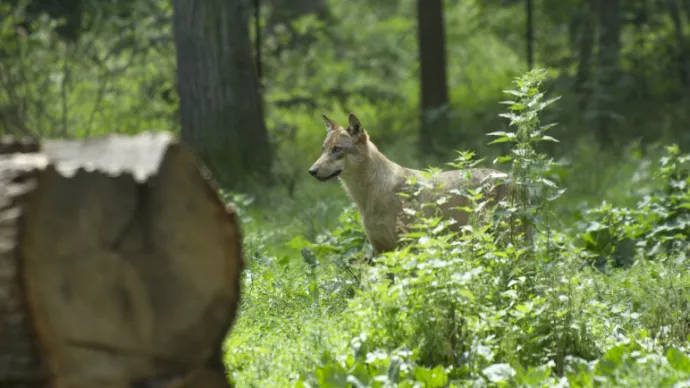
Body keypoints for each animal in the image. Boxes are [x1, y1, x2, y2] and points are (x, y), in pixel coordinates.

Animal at [306, 112, 516, 255]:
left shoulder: (409, 246)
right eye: (324, 149)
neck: (369, 197)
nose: (312, 171)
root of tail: (510, 176)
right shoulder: (381, 250)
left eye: (337, 149)